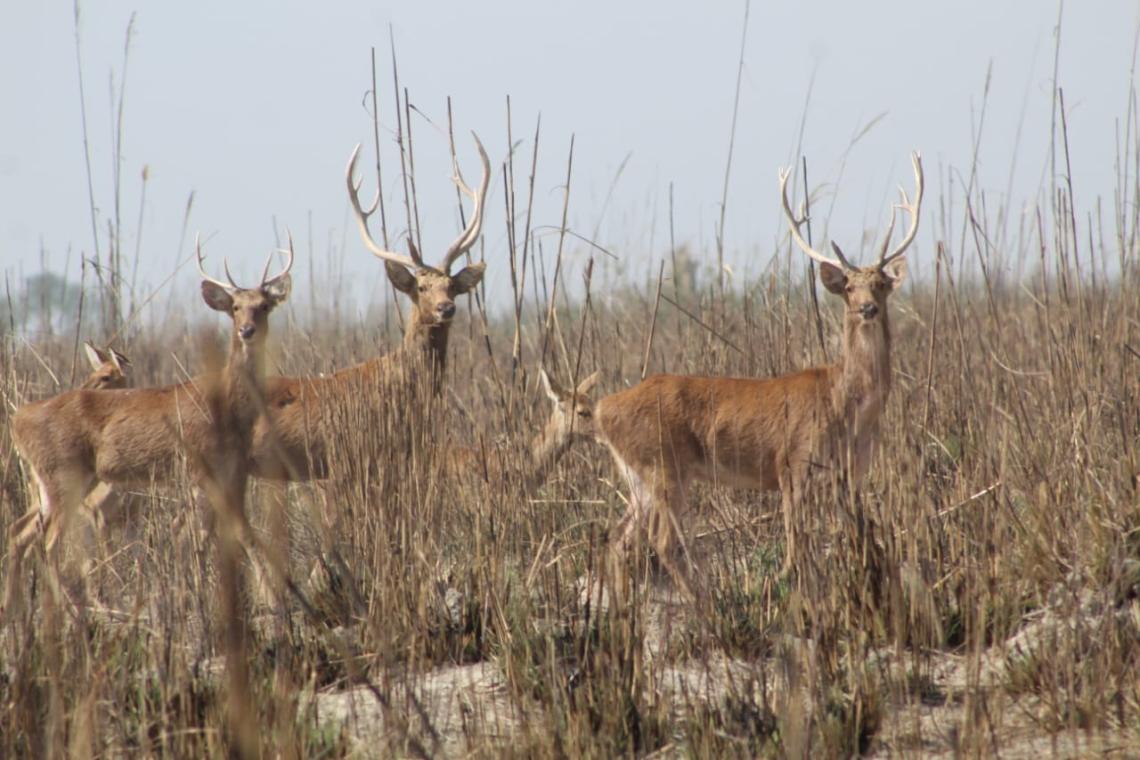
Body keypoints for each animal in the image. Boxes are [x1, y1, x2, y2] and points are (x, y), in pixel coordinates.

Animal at [5, 240, 289, 615]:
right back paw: (74, 610)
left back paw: (16, 609)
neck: (228, 406)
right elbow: (228, 532)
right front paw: (270, 600)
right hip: (62, 476)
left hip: (50, 484)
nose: (247, 330)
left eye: (265, 305)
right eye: (236, 307)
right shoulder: (201, 468)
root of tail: (17, 420)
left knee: (19, 532)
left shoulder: (227, 472)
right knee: (48, 543)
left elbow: (207, 534)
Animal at [592, 151, 921, 587]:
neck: (847, 405)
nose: (867, 308)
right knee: (660, 542)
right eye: (850, 287)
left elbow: (860, 536)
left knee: (617, 539)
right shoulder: (793, 461)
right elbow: (795, 549)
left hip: (639, 476)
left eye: (881, 283)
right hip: (663, 466)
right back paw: (701, 598)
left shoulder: (852, 472)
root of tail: (602, 408)